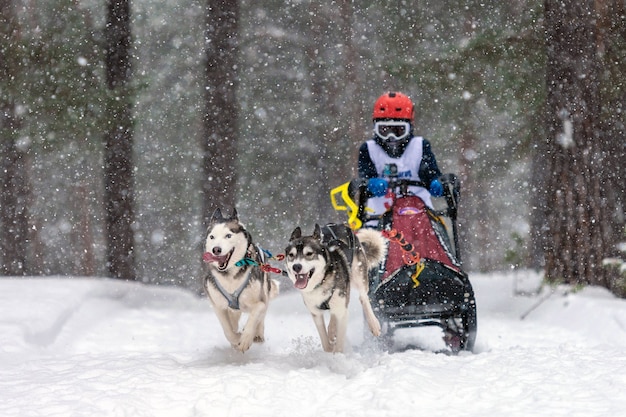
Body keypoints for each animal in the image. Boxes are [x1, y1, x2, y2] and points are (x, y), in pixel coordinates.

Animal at [202, 208, 278, 352]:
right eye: (212, 237)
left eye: (228, 235)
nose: (216, 249)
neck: (230, 274)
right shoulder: (218, 306)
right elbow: (228, 330)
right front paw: (236, 339)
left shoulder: (260, 302)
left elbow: (254, 318)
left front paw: (245, 340)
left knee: (261, 318)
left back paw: (258, 334)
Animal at [284, 223, 386, 352]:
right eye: (291, 255)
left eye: (309, 254)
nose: (296, 266)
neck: (321, 282)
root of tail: (341, 225)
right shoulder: (316, 313)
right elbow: (325, 342)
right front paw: (329, 348)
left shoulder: (342, 311)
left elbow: (339, 344)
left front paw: (337, 355)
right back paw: (332, 330)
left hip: (358, 275)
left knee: (363, 297)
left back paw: (373, 324)